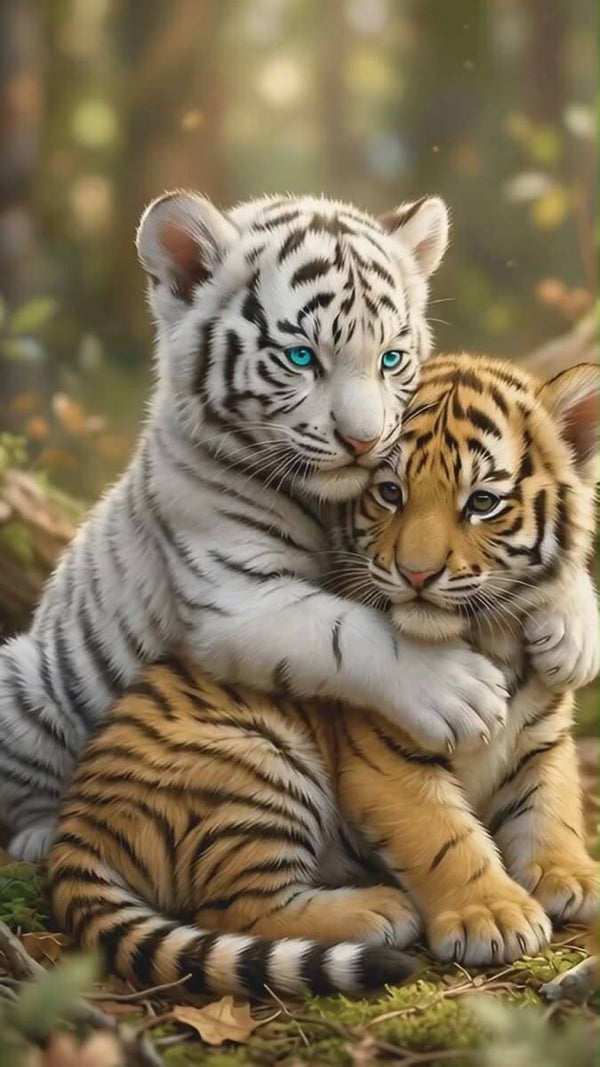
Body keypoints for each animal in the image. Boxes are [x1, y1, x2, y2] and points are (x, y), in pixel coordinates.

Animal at [1, 189, 515, 864]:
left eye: (391, 359)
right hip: (23, 676)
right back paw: (39, 837)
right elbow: (348, 632)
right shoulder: (236, 596)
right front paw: (459, 690)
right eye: (302, 358)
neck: (327, 503)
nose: (366, 441)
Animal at [47, 352, 598, 999]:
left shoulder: (544, 739)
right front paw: (493, 913)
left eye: (482, 503)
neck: (493, 634)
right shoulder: (386, 763)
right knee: (236, 908)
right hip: (257, 766)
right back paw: (375, 910)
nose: (416, 574)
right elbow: (445, 838)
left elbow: (553, 806)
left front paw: (574, 875)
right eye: (390, 492)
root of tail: (77, 821)